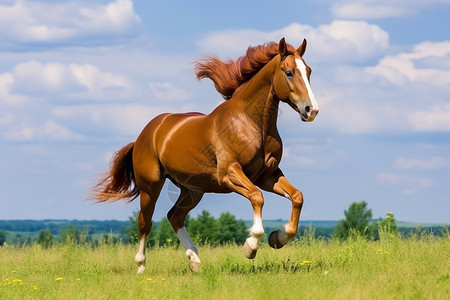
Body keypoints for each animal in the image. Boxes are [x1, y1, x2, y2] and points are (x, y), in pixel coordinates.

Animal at [91, 37, 318, 272]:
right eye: (289, 72)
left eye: (309, 71)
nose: (312, 110)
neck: (252, 125)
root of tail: (145, 134)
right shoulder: (230, 174)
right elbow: (257, 197)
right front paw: (250, 247)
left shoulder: (267, 176)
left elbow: (297, 196)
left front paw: (277, 238)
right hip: (150, 186)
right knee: (145, 222)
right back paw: (141, 266)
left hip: (193, 189)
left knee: (175, 216)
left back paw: (195, 261)